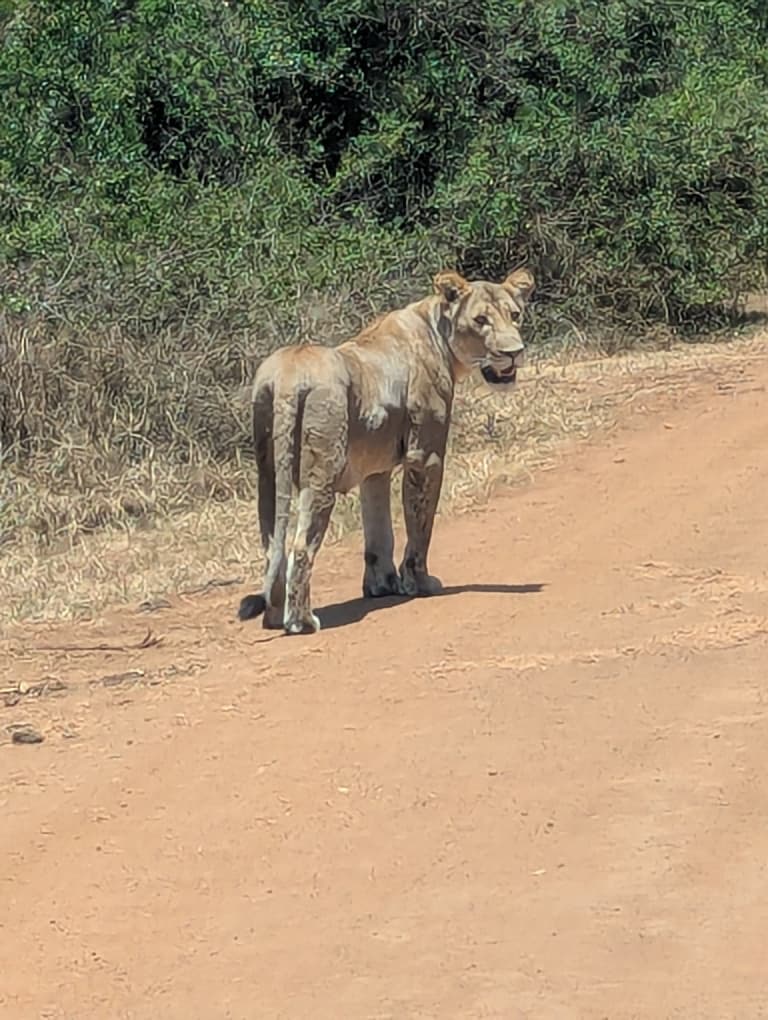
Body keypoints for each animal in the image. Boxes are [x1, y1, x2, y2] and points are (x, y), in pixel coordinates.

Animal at [238, 267, 535, 634]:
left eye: (515, 315)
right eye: (481, 320)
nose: (514, 352)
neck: (436, 327)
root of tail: (289, 374)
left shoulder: (374, 469)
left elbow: (378, 529)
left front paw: (381, 585)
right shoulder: (425, 456)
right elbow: (420, 526)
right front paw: (419, 583)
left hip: (267, 475)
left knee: (272, 546)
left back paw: (274, 615)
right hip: (321, 472)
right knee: (300, 545)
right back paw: (301, 621)